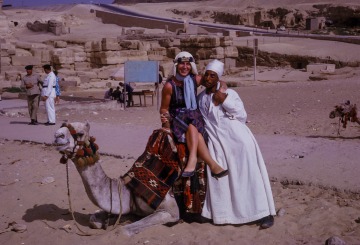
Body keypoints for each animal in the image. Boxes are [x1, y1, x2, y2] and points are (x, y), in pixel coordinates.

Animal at [53, 121, 181, 236]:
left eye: (80, 133)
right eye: (61, 125)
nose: (57, 135)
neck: (130, 189)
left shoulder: (171, 211)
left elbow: (122, 230)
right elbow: (93, 221)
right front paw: (108, 221)